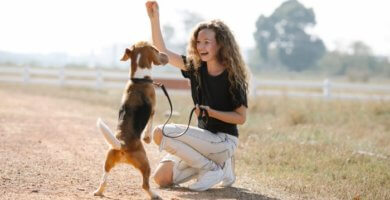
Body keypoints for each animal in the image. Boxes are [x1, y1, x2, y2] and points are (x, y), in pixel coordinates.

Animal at [94, 41, 169, 199]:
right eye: (156, 50)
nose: (166, 55)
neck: (139, 79)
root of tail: (122, 144)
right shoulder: (153, 109)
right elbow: (150, 124)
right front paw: (147, 137)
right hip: (145, 163)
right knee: (145, 185)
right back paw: (154, 195)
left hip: (107, 161)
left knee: (104, 179)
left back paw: (99, 191)